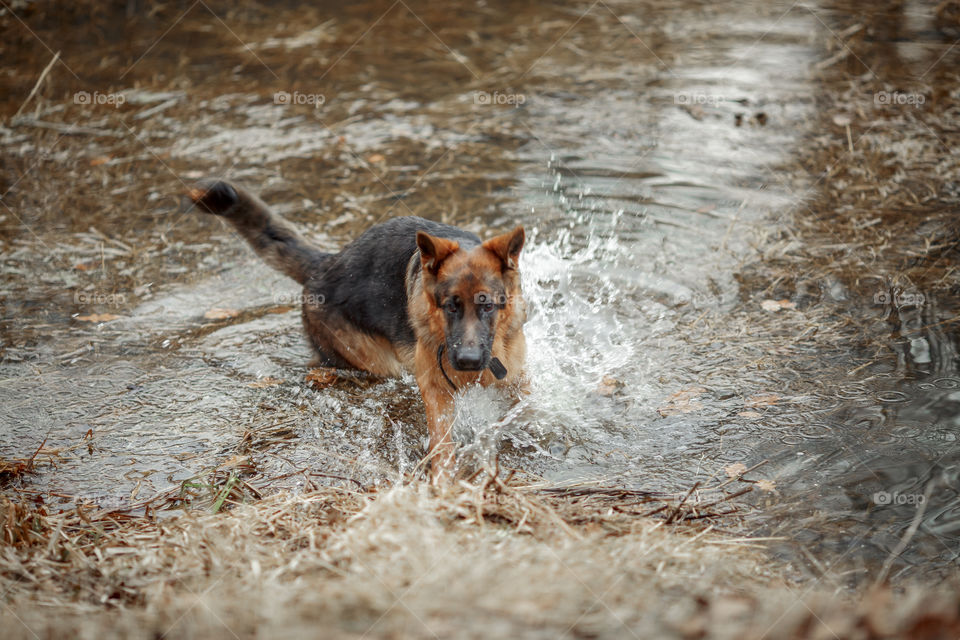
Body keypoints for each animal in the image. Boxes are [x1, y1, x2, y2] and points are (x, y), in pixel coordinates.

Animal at [188, 180, 528, 480]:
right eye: (450, 307)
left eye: (487, 306)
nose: (469, 360)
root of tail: (325, 264)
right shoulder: (435, 390)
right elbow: (442, 443)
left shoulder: (516, 380)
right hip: (374, 360)